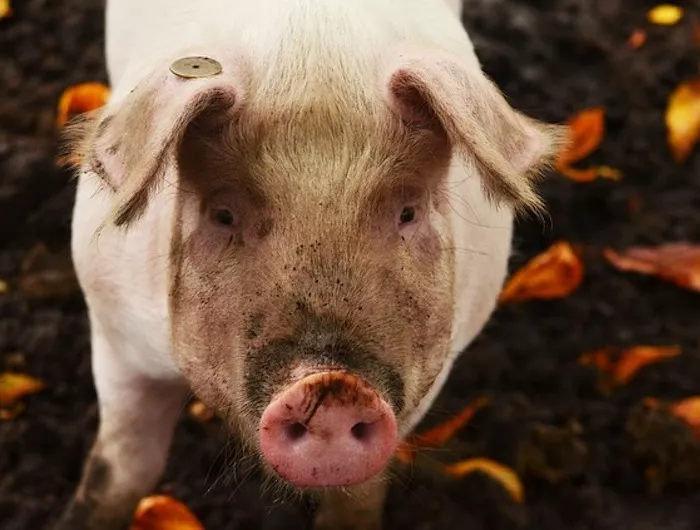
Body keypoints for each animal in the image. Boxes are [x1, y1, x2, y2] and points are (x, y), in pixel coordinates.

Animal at [54, 1, 568, 528]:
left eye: (408, 212)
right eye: (223, 214)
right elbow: (123, 470)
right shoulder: (116, 333)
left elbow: (357, 496)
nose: (333, 386)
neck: (311, 63)